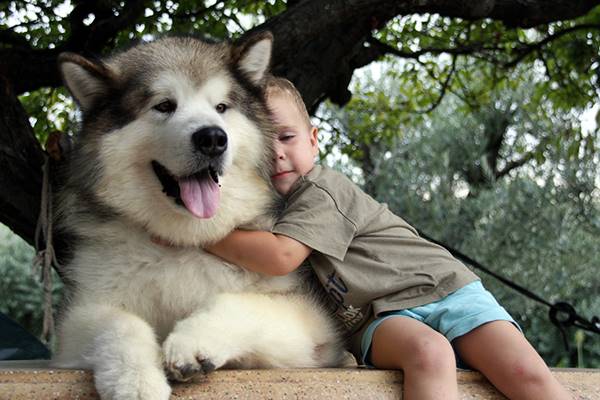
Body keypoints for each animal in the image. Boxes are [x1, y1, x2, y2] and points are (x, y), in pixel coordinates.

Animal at [52, 32, 346, 398]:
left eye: (221, 107)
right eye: (164, 105)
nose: (213, 138)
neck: (184, 240)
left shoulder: (315, 328)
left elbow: (241, 302)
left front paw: (191, 341)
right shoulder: (78, 320)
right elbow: (120, 323)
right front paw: (136, 381)